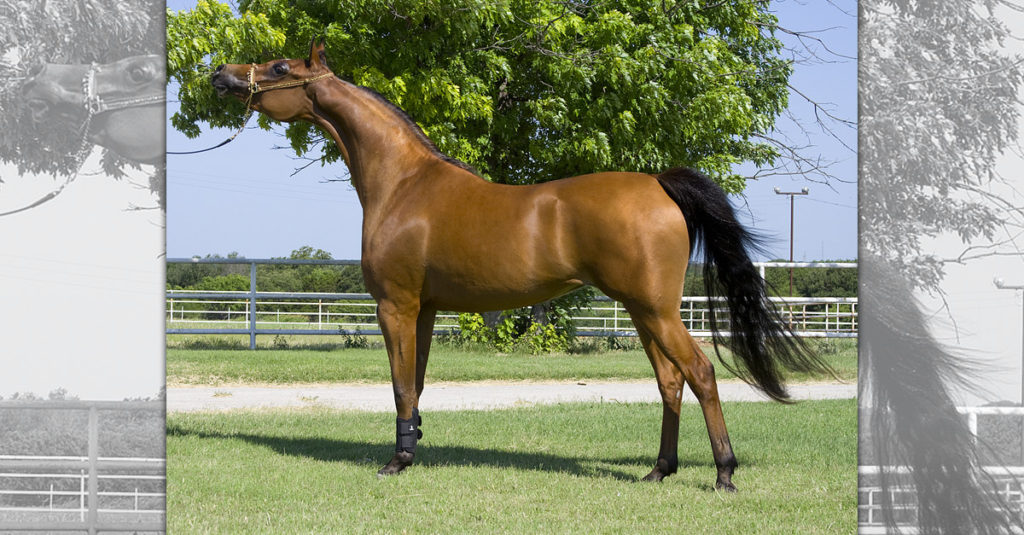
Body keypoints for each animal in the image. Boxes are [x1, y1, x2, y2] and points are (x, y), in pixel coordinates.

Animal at [210, 39, 830, 489]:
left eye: (280, 65)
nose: (221, 75)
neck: (404, 184)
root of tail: (658, 183)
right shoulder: (426, 310)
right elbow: (417, 383)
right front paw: (412, 448)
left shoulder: (396, 306)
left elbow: (400, 384)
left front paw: (396, 462)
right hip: (642, 311)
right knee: (670, 381)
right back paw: (659, 470)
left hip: (656, 309)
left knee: (699, 374)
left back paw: (724, 473)